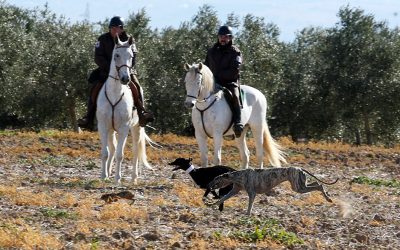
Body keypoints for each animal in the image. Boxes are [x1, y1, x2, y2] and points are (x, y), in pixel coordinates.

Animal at [96, 35, 150, 184]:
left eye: (131, 55)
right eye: (116, 55)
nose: (125, 78)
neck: (115, 94)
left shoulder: (124, 128)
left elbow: (120, 154)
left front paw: (117, 179)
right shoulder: (103, 127)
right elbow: (105, 153)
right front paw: (103, 175)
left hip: (136, 127)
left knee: (135, 150)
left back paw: (133, 178)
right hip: (111, 130)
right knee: (112, 148)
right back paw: (108, 173)